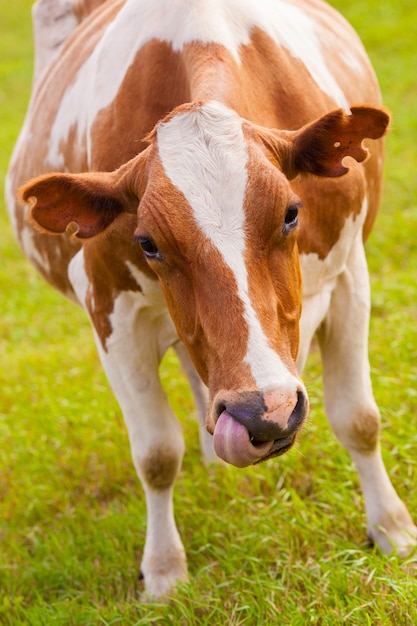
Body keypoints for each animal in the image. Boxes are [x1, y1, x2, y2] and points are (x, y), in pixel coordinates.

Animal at [4, 0, 414, 596]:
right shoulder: (111, 316)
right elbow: (155, 453)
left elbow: (358, 418)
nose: (264, 413)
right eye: (148, 243)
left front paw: (392, 529)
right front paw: (163, 570)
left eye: (291, 212)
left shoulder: (349, 278)